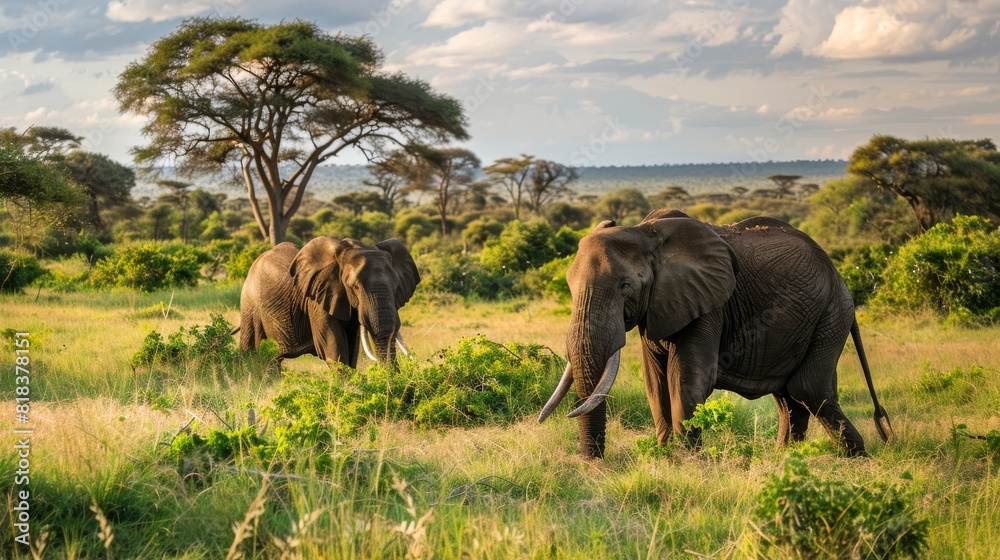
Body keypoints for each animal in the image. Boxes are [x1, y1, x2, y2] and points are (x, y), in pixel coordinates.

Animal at [238, 237, 418, 366]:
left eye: (396, 285)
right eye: (354, 287)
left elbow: (351, 349)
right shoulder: (318, 299)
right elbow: (334, 347)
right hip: (248, 303)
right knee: (249, 347)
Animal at [540, 210, 892, 460]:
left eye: (625, 286)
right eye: (569, 286)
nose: (592, 462)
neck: (645, 231)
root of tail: (838, 274)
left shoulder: (709, 303)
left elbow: (685, 380)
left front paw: (687, 462)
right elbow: (655, 383)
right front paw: (666, 457)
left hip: (832, 313)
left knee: (809, 388)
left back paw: (857, 459)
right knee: (789, 396)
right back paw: (787, 458)